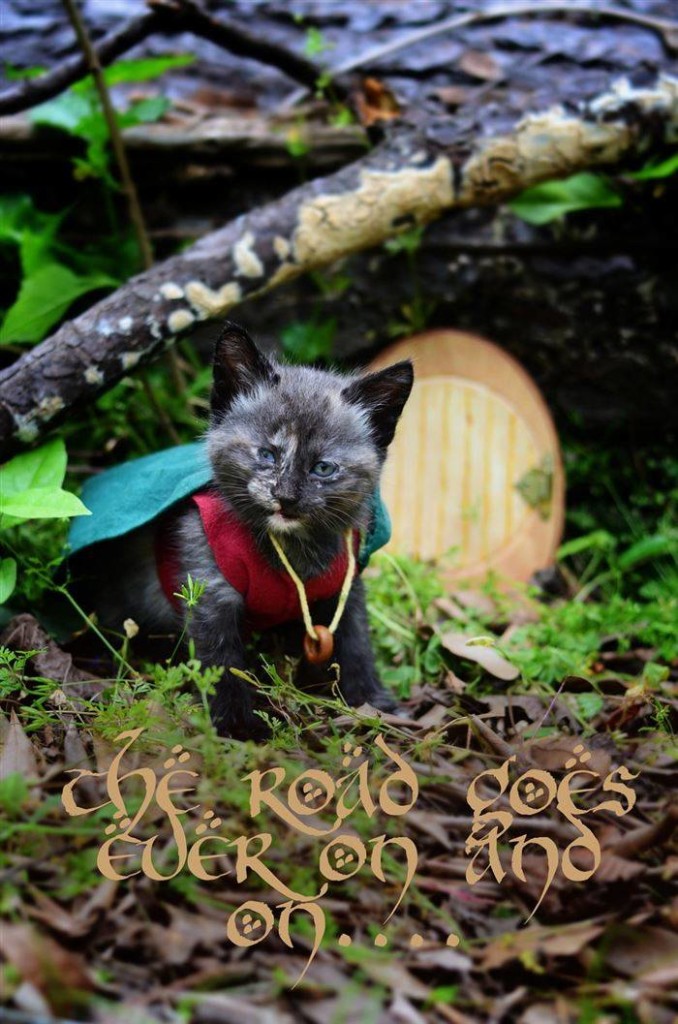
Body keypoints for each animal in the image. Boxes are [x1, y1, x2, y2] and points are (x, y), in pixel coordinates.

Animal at [83, 323, 413, 741]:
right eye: (266, 455)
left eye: (323, 468)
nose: (286, 497)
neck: (291, 551)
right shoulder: (209, 590)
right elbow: (220, 662)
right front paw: (236, 725)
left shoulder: (346, 584)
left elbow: (356, 642)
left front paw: (373, 702)